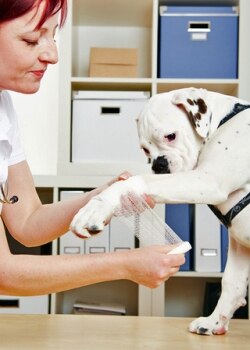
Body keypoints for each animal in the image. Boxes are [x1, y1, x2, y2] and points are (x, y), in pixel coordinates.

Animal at [70, 88, 250, 336]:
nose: (158, 165)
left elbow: (134, 181)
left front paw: (97, 206)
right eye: (145, 149)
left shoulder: (208, 180)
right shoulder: (239, 244)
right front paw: (214, 322)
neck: (222, 120)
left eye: (170, 136)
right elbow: (232, 283)